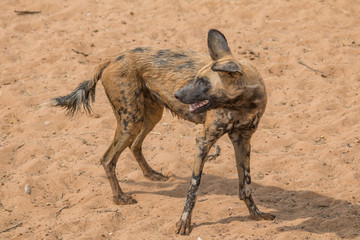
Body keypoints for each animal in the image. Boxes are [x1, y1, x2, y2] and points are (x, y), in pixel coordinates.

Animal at [50, 29, 274, 234]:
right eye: (196, 78)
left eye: (204, 82)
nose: (177, 94)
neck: (242, 105)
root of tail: (113, 57)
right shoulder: (203, 141)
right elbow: (193, 189)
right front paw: (184, 224)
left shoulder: (243, 141)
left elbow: (245, 186)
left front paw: (256, 214)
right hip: (131, 121)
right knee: (107, 159)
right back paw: (119, 198)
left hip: (150, 117)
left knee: (134, 145)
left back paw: (151, 174)